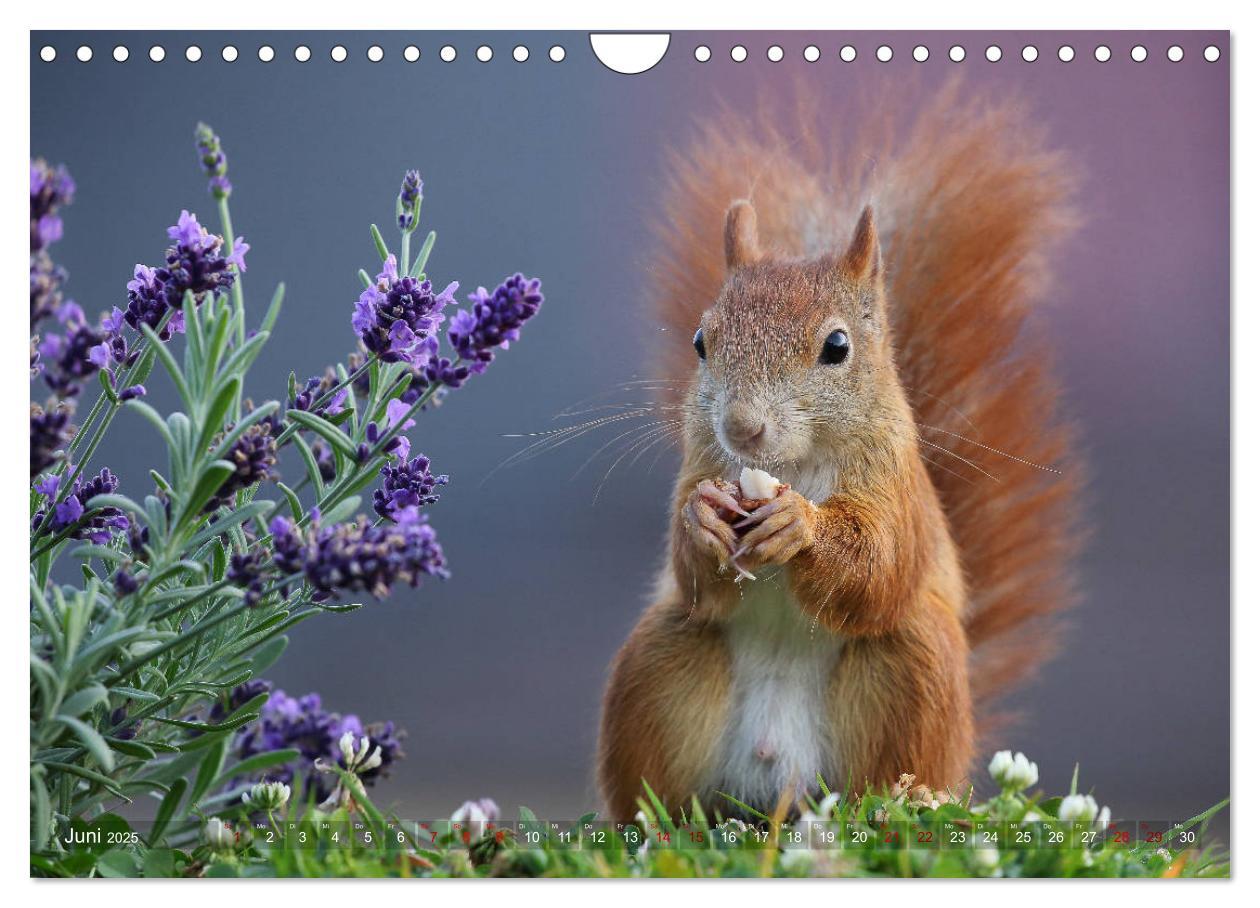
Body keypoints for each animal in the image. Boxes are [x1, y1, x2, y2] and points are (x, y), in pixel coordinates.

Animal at [597, 90, 1083, 821]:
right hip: (662, 660)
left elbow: (877, 564)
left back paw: (900, 803)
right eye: (701, 342)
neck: (793, 467)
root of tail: (780, 784)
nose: (742, 427)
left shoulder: (894, 485)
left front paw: (799, 525)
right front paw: (702, 520)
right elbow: (693, 573)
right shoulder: (699, 465)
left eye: (837, 347)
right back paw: (656, 823)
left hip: (912, 671)